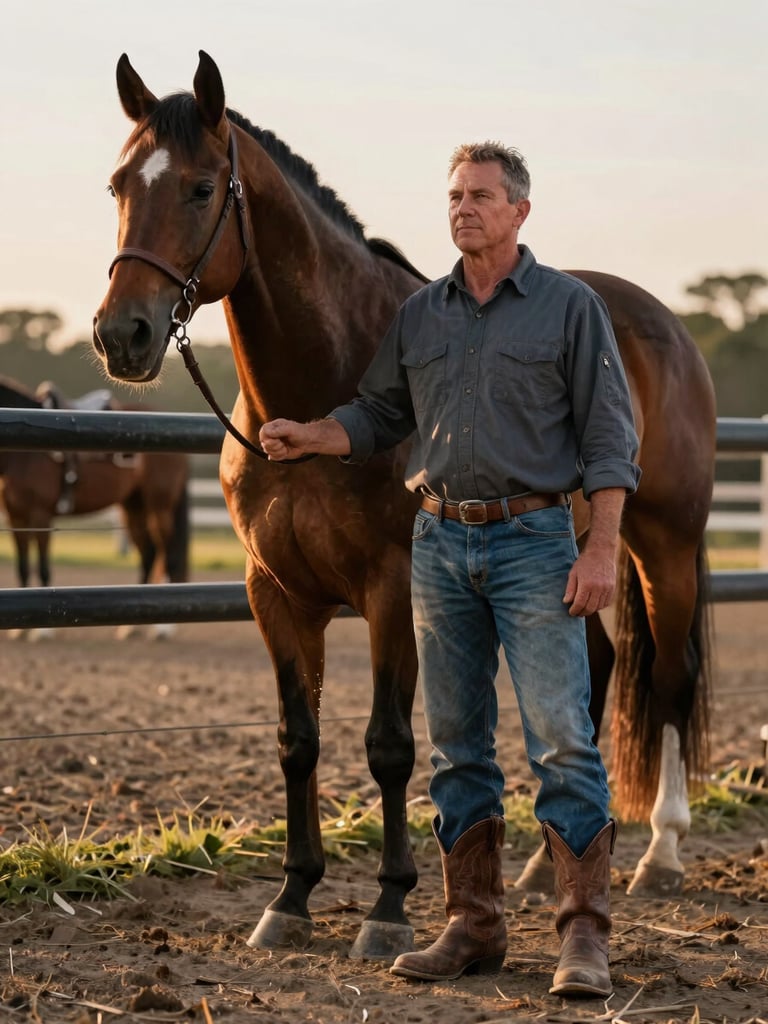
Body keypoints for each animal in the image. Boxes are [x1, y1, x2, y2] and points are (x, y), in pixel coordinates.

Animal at [0, 374, 190, 638]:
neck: (24, 455)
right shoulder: (16, 517)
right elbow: (22, 567)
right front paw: (20, 630)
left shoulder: (41, 516)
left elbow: (44, 567)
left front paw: (43, 631)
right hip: (133, 508)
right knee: (149, 555)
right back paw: (131, 627)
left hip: (159, 507)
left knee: (168, 555)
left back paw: (164, 629)